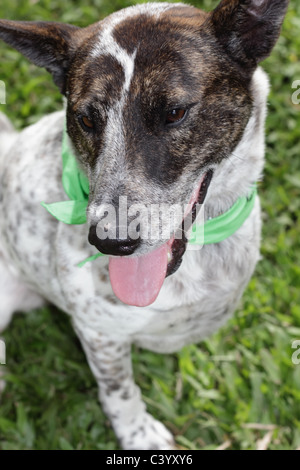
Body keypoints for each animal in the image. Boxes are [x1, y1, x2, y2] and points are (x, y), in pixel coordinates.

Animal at [0, 0, 290, 448]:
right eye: (86, 119)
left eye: (174, 113)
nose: (110, 242)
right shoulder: (100, 333)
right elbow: (119, 389)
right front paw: (138, 433)